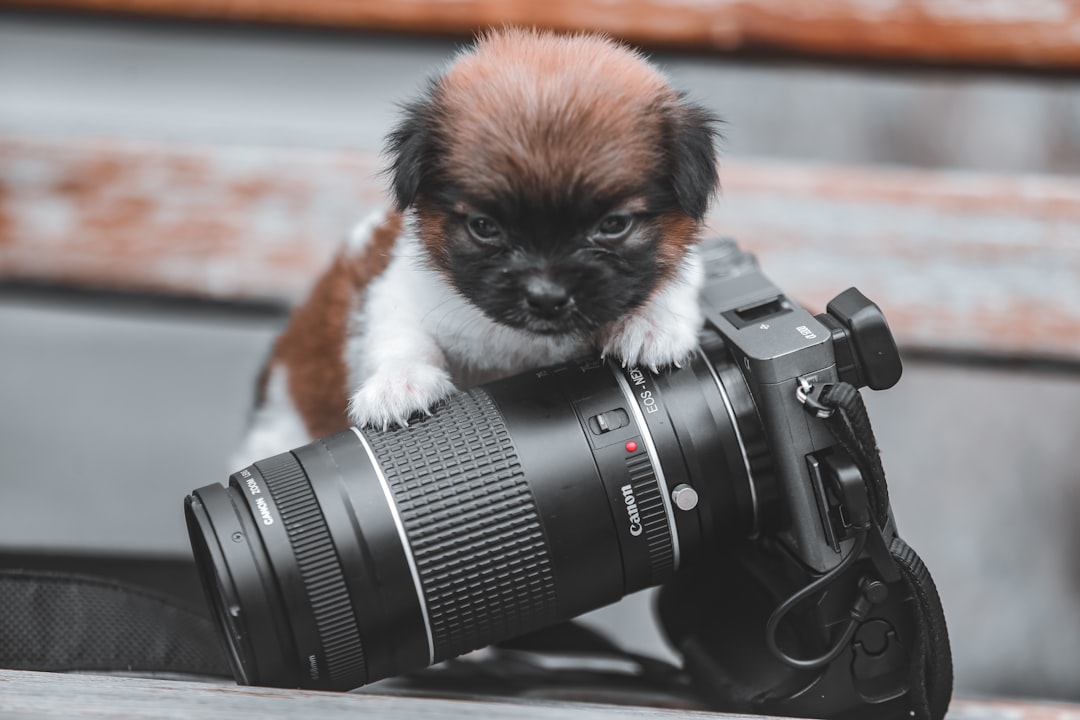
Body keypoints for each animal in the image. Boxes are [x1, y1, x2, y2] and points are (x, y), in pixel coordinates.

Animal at [234, 28, 717, 464]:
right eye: (485, 227)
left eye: (613, 225)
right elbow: (401, 338)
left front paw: (651, 324)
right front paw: (400, 383)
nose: (546, 298)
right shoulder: (401, 292)